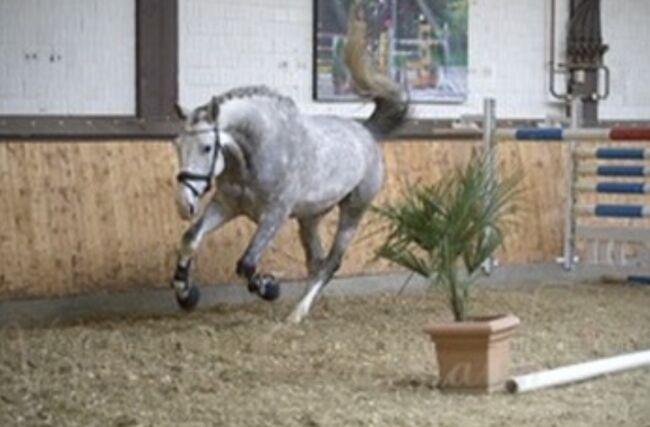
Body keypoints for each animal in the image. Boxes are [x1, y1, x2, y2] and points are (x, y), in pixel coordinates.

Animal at [170, 8, 408, 322]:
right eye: (177, 145)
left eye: (207, 147)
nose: (183, 204)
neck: (255, 153)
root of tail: (366, 132)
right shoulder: (226, 205)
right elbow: (190, 238)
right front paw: (186, 293)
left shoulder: (275, 214)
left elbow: (246, 263)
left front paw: (269, 286)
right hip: (310, 217)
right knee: (316, 261)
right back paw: (300, 309)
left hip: (353, 210)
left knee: (332, 261)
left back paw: (296, 313)